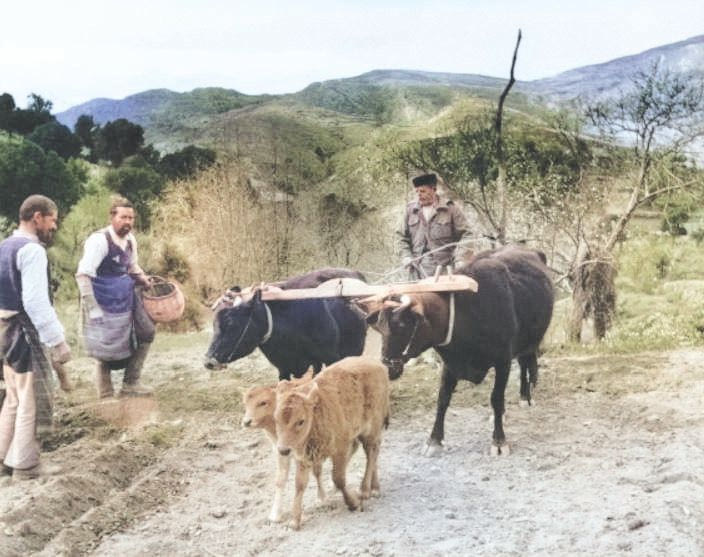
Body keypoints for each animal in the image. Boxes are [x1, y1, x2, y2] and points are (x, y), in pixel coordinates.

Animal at [274, 356, 390, 528]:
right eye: (276, 419)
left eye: (300, 421)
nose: (283, 449)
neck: (316, 412)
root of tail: (379, 366)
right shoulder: (303, 457)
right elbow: (299, 484)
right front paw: (294, 521)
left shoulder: (340, 450)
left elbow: (339, 477)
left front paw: (353, 503)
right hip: (361, 433)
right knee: (371, 453)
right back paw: (374, 487)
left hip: (371, 429)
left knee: (371, 453)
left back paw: (365, 490)